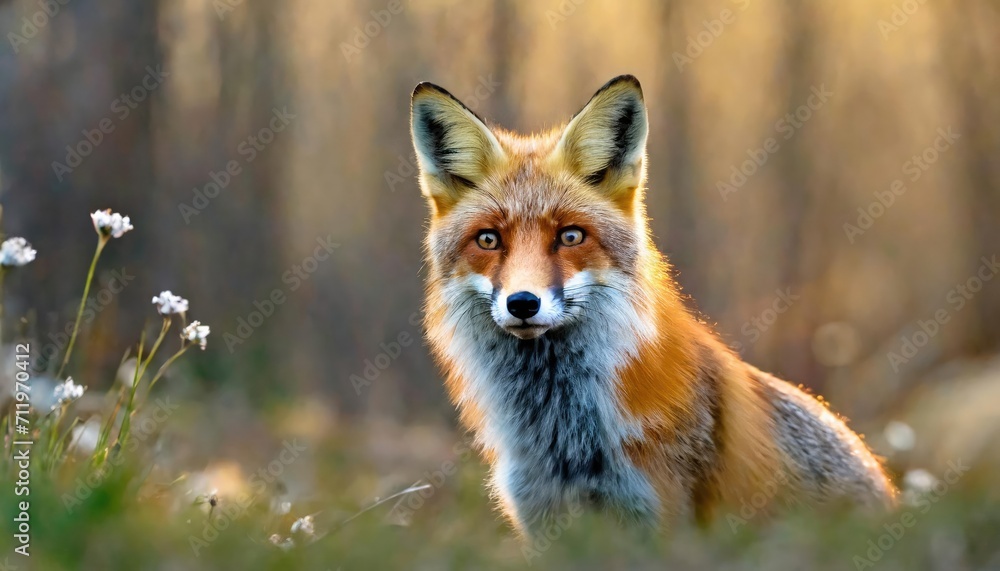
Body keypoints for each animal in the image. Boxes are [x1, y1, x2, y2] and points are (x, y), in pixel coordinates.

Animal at [409, 75, 897, 536]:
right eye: (489, 240)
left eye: (570, 235)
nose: (523, 303)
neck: (565, 437)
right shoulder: (543, 518)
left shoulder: (660, 519)